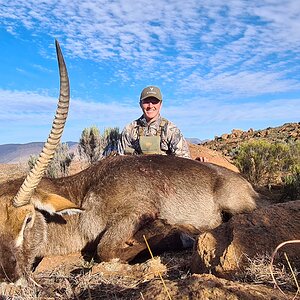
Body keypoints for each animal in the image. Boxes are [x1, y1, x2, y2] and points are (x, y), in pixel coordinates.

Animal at [0, 41, 258, 284]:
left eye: (28, 219)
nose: (8, 274)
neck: (83, 192)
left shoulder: (136, 210)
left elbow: (105, 249)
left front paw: (174, 233)